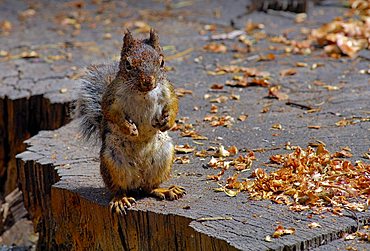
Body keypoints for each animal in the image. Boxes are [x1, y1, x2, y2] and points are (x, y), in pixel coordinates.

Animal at [76, 28, 185, 214]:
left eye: (162, 62)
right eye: (128, 64)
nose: (148, 81)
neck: (143, 92)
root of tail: (138, 181)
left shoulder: (168, 91)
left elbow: (173, 106)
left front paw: (167, 123)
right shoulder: (111, 97)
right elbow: (111, 113)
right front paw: (130, 129)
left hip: (163, 156)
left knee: (150, 187)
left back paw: (165, 190)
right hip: (113, 163)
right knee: (119, 188)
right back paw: (121, 199)